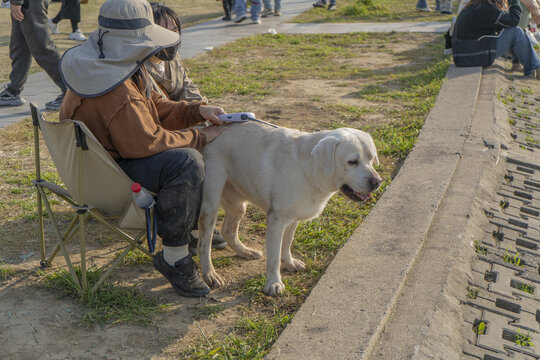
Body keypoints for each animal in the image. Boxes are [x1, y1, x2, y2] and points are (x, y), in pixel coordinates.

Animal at [197, 123, 380, 296]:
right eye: (352, 162)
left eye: (371, 159)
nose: (377, 182)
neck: (310, 170)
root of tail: (205, 128)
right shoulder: (276, 220)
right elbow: (274, 256)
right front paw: (273, 283)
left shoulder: (293, 218)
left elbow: (287, 243)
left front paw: (289, 262)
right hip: (210, 204)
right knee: (204, 244)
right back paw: (210, 274)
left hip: (238, 205)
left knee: (228, 231)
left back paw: (245, 251)